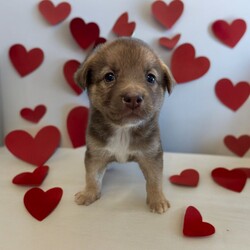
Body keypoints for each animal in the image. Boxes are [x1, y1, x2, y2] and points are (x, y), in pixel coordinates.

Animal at [74, 38, 174, 214]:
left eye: (150, 78)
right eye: (109, 76)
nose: (133, 98)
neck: (123, 130)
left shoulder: (151, 155)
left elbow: (155, 180)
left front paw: (157, 200)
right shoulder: (96, 153)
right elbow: (92, 177)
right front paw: (89, 194)